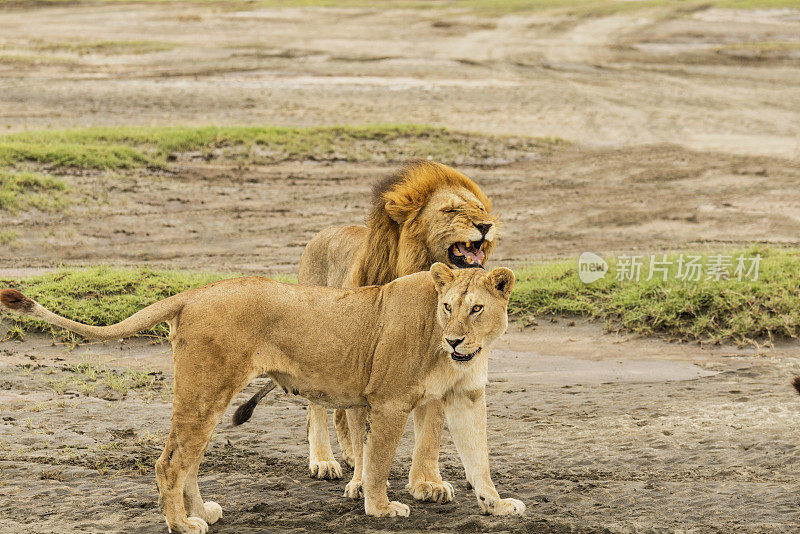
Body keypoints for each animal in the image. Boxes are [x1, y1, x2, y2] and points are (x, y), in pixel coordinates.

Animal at [1, 266, 524, 532]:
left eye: (476, 308)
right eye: (447, 306)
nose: (455, 339)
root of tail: (192, 294)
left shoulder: (467, 397)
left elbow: (480, 460)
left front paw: (496, 506)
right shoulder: (390, 401)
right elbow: (376, 463)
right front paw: (380, 508)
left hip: (210, 397)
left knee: (187, 462)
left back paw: (200, 513)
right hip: (206, 389)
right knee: (169, 463)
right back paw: (182, 525)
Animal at [234, 161, 496, 504]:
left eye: (480, 208)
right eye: (450, 210)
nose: (487, 225)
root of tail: (322, 233)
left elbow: (430, 432)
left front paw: (428, 482)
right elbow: (363, 434)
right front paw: (363, 483)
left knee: (337, 409)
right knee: (317, 409)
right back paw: (324, 460)